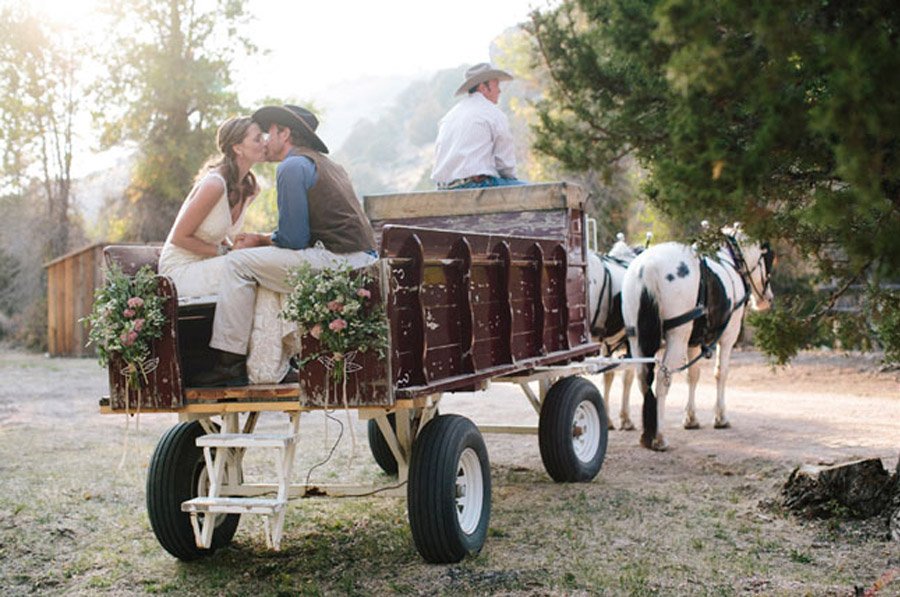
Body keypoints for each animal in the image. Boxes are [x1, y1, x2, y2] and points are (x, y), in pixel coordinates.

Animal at [620, 226, 772, 450]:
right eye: (767, 259)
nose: (767, 299)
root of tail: (647, 268)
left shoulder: (693, 342)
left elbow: (693, 375)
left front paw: (691, 419)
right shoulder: (728, 336)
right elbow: (721, 373)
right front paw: (720, 417)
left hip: (636, 337)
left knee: (642, 378)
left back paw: (648, 434)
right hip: (677, 337)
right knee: (662, 380)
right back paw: (659, 436)